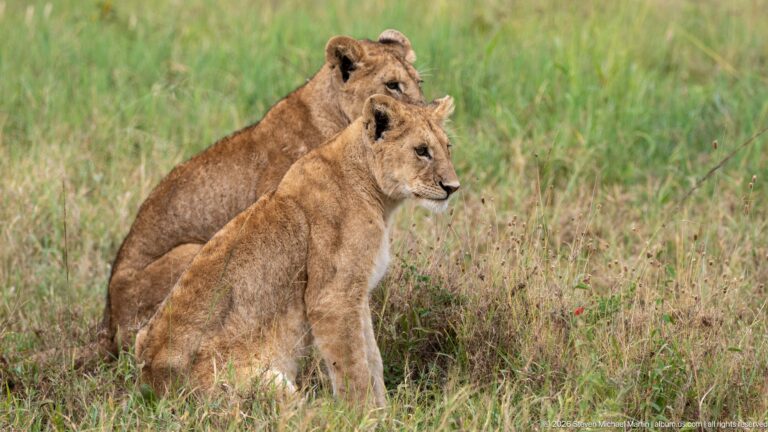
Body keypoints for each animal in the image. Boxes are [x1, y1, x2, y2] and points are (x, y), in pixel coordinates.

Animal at [134, 94, 459, 408]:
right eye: (421, 150)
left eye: (447, 147)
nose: (453, 187)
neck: (377, 195)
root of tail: (151, 385)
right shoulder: (333, 298)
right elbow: (354, 367)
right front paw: (365, 415)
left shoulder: (357, 294)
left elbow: (372, 358)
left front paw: (385, 411)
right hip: (267, 383)